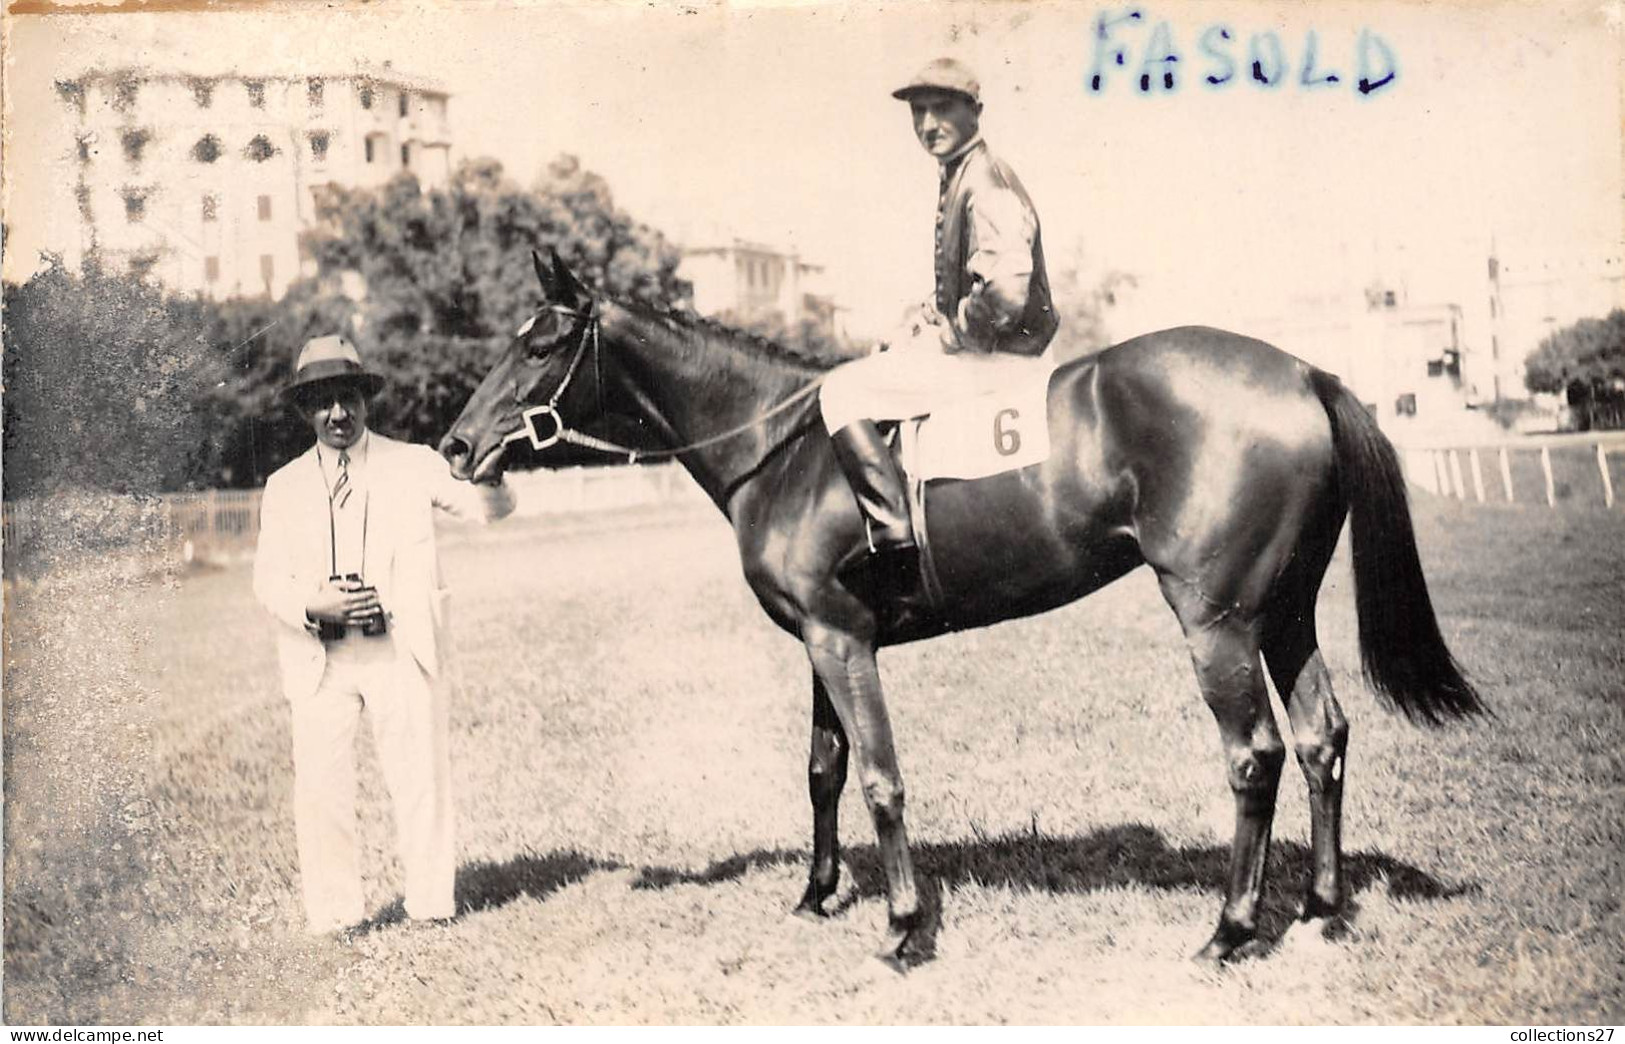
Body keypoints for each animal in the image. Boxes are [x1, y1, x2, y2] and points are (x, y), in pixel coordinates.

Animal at [438, 252, 1482, 969]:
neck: (784, 449)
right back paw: (1317, 911)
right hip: (1283, 612)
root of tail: (1302, 372)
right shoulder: (820, 642)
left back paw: (1229, 931)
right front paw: (815, 896)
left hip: (1216, 620)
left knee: (1254, 754)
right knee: (1321, 737)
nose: (454, 446)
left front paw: (905, 927)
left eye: (539, 344)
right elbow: (822, 770)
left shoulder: (841, 640)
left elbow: (879, 779)